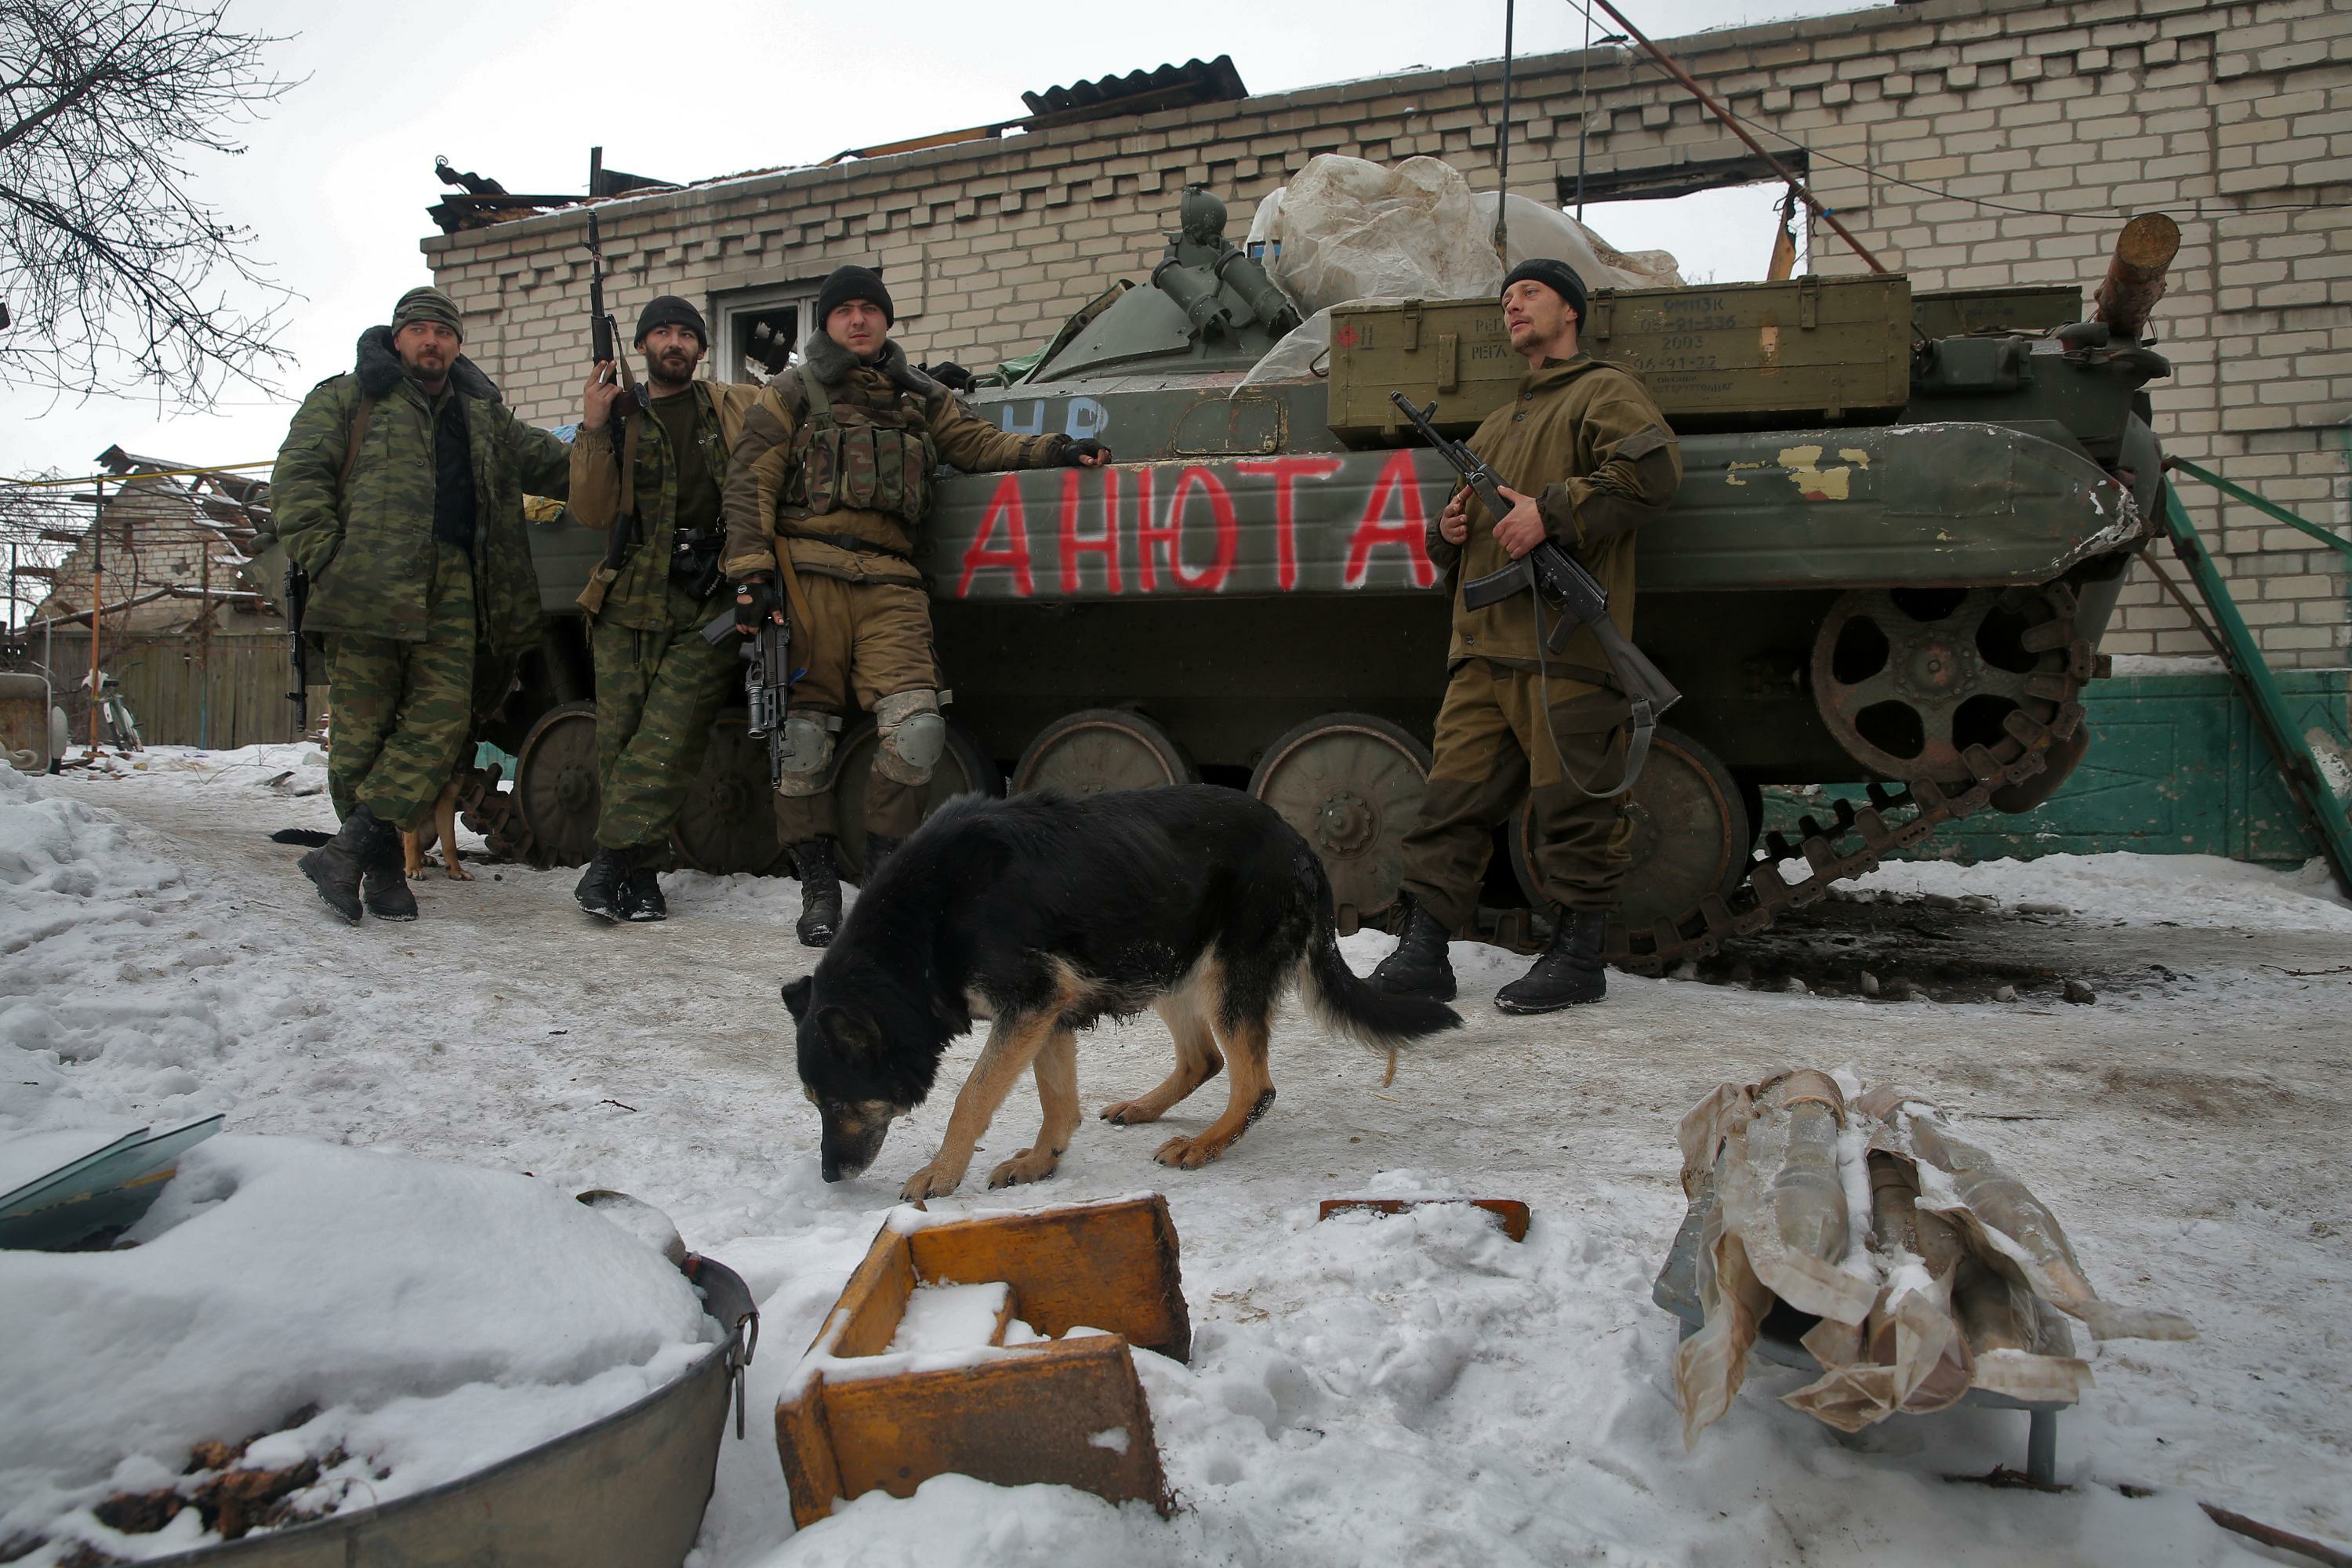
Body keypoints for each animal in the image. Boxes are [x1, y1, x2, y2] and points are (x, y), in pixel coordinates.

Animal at [781, 785, 1458, 1203]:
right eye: (813, 1102)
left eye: (835, 1101)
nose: (829, 1176)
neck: (925, 922)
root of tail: (1301, 846)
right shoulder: (1047, 1014)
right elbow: (1056, 1101)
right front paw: (1041, 1161)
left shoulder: (1029, 1005)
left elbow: (971, 1098)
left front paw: (942, 1174)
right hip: (1167, 964)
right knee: (1204, 1060)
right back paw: (1147, 1107)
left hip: (1222, 981)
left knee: (1255, 1085)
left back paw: (1205, 1144)